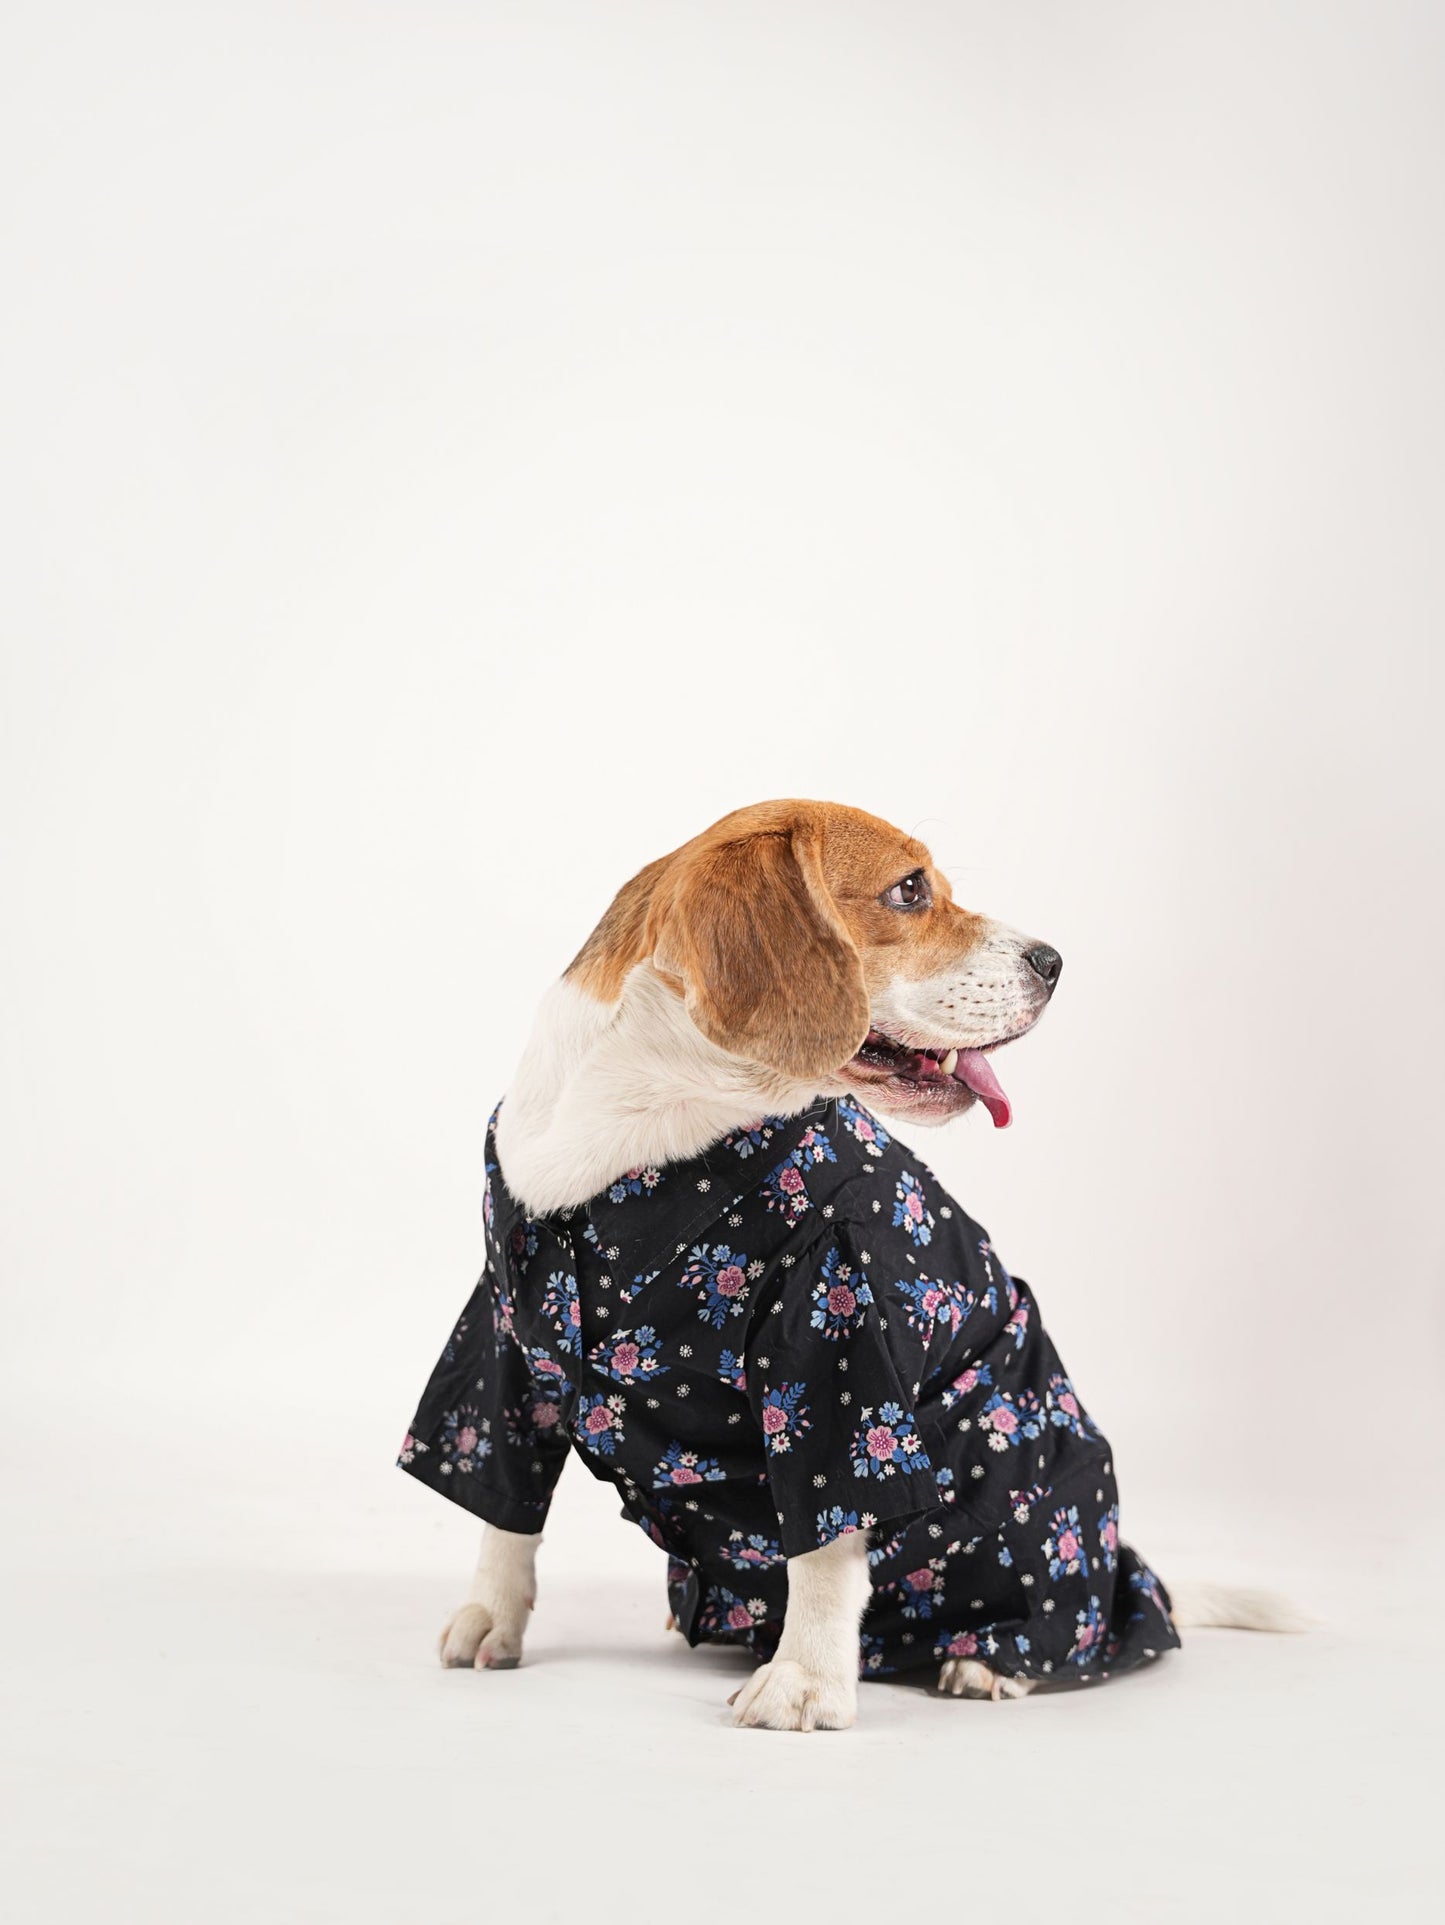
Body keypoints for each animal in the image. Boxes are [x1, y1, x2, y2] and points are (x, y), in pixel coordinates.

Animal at [398, 796, 1300, 1732]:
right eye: (908, 890)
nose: (1054, 961)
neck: (641, 1124)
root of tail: (1130, 1567)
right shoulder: (500, 1344)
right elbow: (504, 1507)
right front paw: (491, 1617)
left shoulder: (832, 1350)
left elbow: (825, 1541)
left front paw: (805, 1681)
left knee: (1064, 1622)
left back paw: (987, 1658)